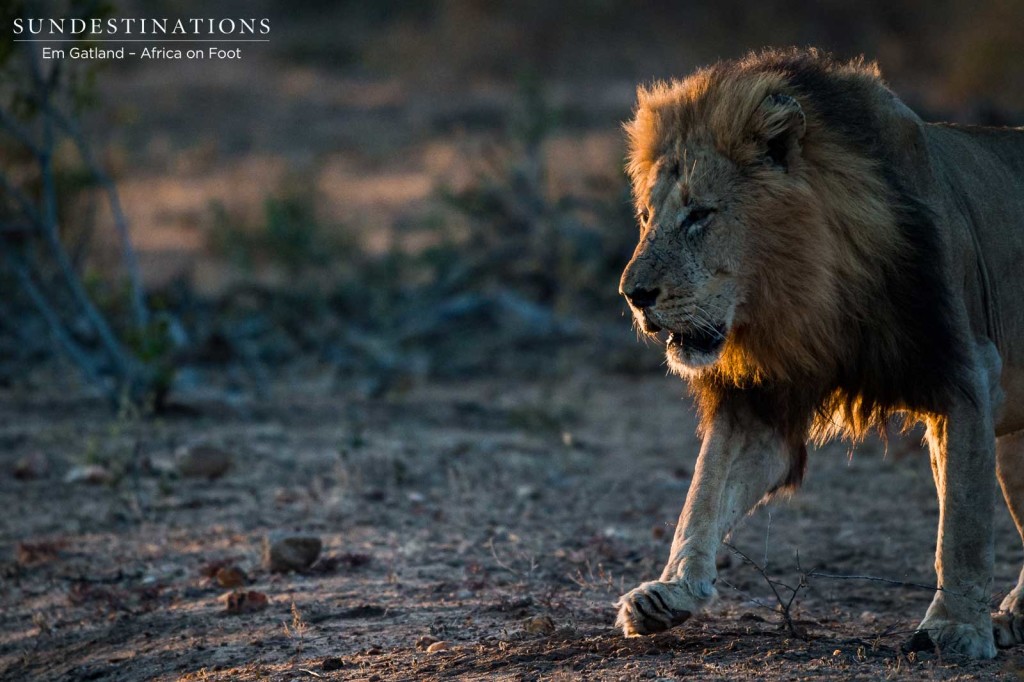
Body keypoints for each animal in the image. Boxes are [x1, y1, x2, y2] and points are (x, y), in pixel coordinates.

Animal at [614, 46, 1024, 655]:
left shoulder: (968, 372)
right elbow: (704, 493)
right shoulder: (765, 396)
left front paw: (954, 627)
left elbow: (963, 524)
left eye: (699, 216)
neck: (810, 294)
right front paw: (671, 591)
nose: (633, 295)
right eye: (646, 217)